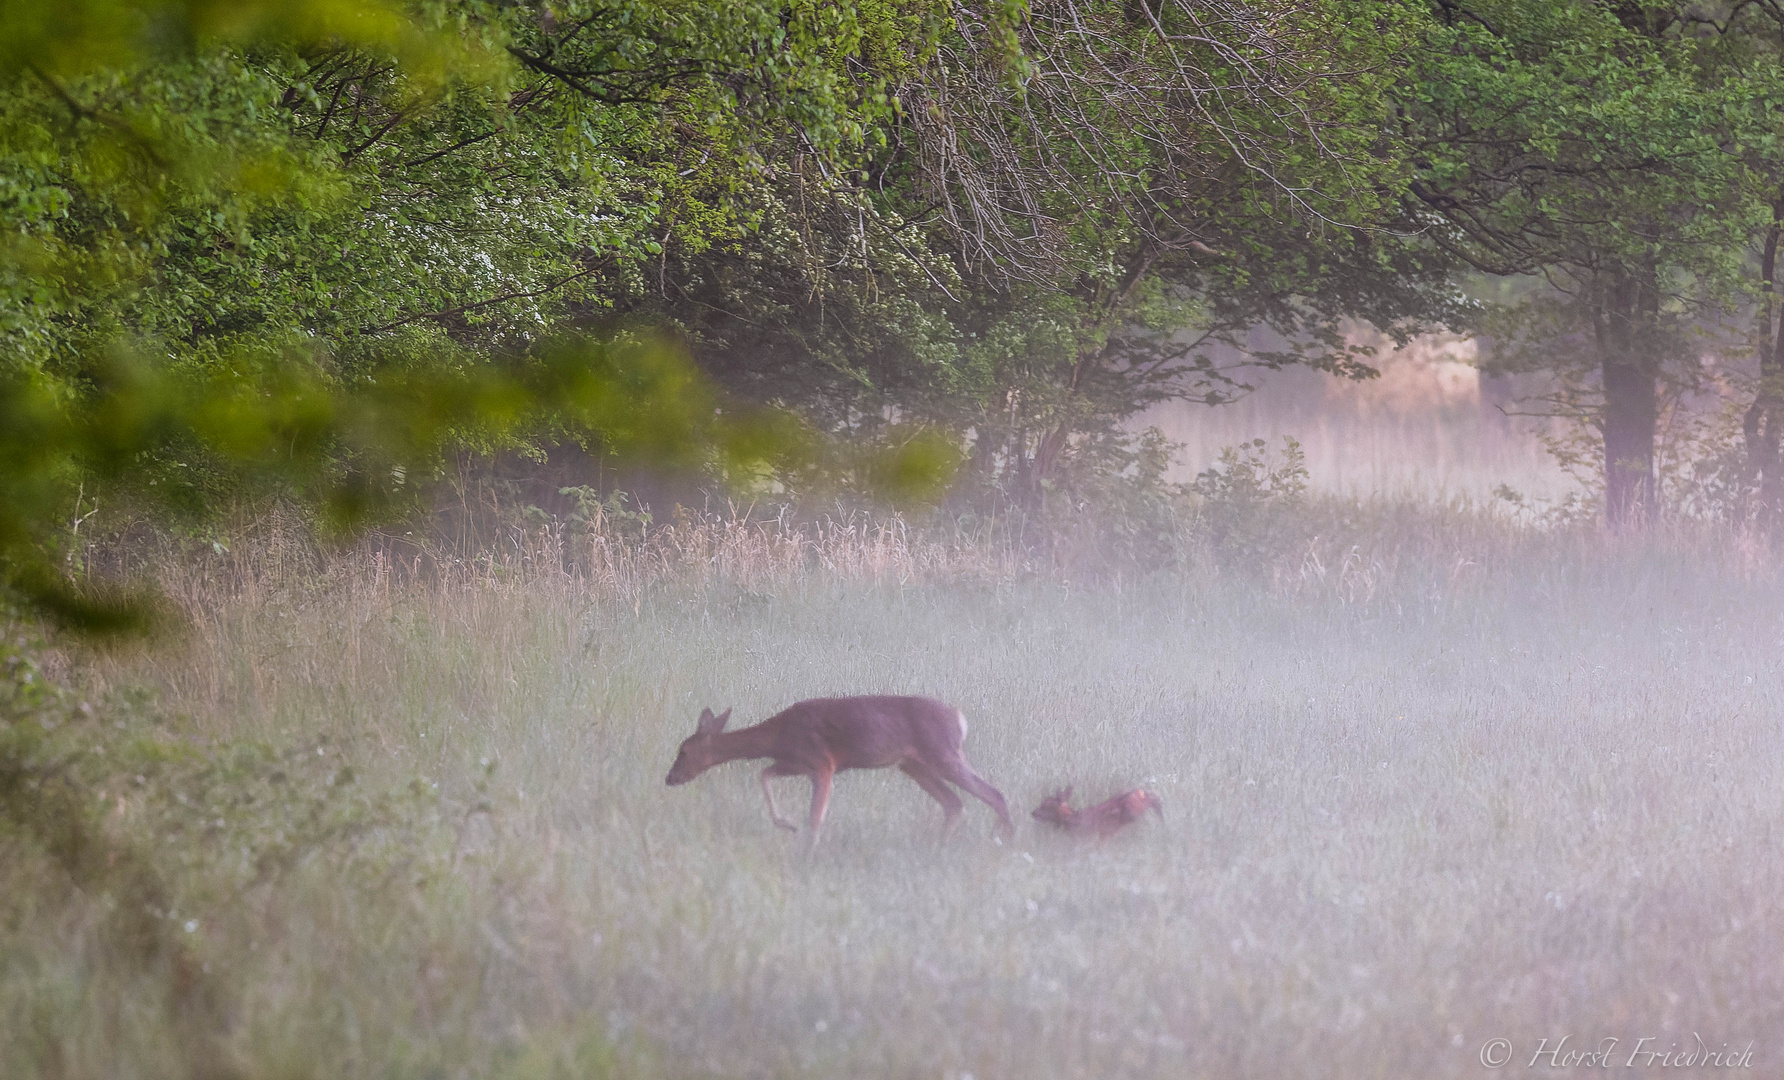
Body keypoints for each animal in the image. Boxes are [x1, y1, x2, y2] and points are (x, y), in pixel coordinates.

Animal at [667, 696, 1020, 846]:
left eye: (683, 751)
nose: (669, 778)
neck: (777, 735)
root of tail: (959, 718)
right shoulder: (797, 763)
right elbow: (764, 775)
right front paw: (788, 825)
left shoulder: (823, 764)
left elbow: (815, 817)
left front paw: (807, 854)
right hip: (913, 764)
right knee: (954, 803)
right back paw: (938, 850)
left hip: (943, 753)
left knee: (993, 793)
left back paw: (1004, 841)